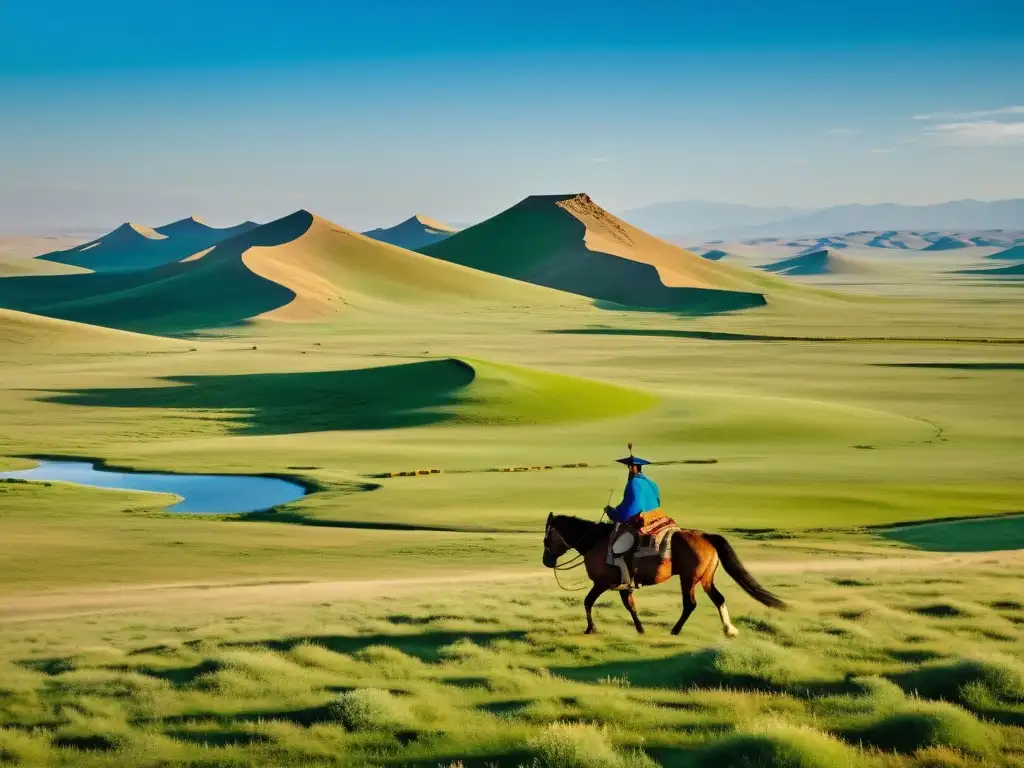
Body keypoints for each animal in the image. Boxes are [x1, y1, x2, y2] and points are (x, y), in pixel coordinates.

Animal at [540, 514, 786, 634]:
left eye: (546, 539)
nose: (546, 561)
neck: (594, 541)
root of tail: (706, 536)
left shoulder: (601, 583)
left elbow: (588, 602)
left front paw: (591, 628)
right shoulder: (624, 585)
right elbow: (631, 605)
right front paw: (640, 629)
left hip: (688, 579)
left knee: (690, 604)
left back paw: (676, 630)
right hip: (705, 578)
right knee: (718, 599)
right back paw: (730, 630)